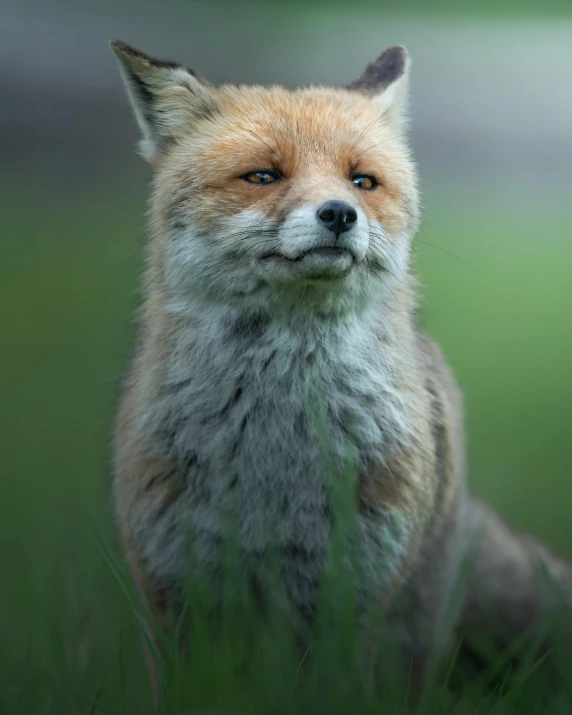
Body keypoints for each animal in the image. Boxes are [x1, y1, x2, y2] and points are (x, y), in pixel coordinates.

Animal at [109, 37, 568, 692]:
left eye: (362, 181)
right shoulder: (172, 587)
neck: (275, 452)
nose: (338, 214)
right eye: (263, 176)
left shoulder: (353, 595)